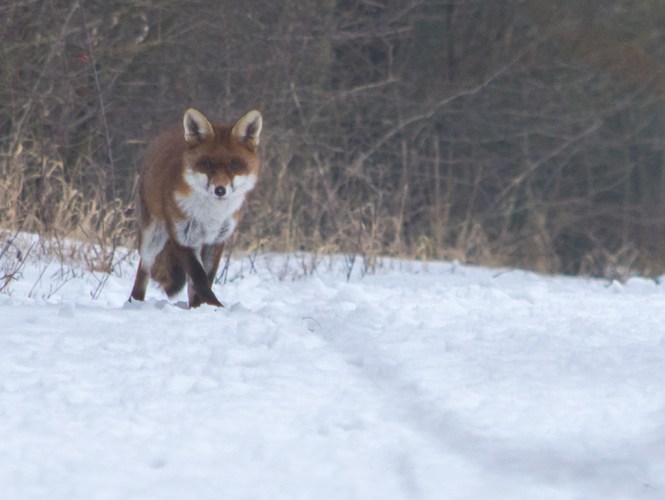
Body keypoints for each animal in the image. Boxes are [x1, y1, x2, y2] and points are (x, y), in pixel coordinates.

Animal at [129, 108, 262, 308]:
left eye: (234, 165)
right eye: (207, 164)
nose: (220, 190)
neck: (210, 215)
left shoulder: (217, 240)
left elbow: (206, 277)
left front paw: (203, 306)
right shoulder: (181, 238)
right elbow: (199, 277)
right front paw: (214, 306)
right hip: (152, 237)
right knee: (144, 266)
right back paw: (134, 301)